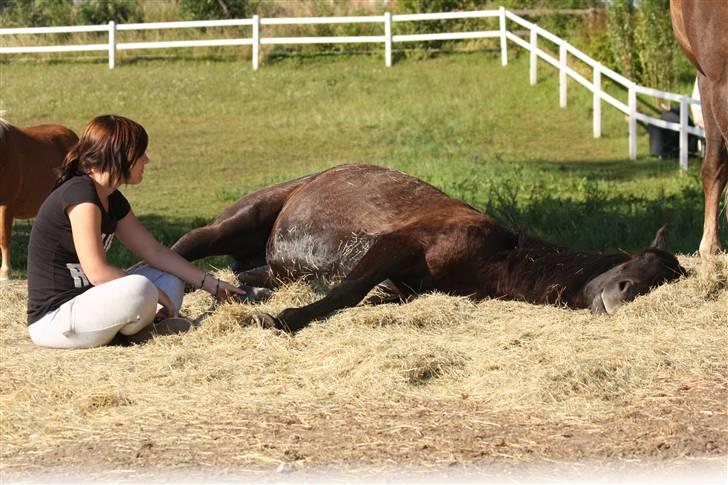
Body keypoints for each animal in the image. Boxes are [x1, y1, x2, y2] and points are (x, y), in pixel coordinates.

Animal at [173, 164, 684, 330]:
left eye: (662, 283)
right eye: (639, 260)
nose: (623, 293)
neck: (497, 256)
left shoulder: (399, 284)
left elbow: (358, 294)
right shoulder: (398, 244)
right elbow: (346, 293)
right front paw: (280, 321)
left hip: (267, 266)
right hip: (235, 224)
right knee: (180, 250)